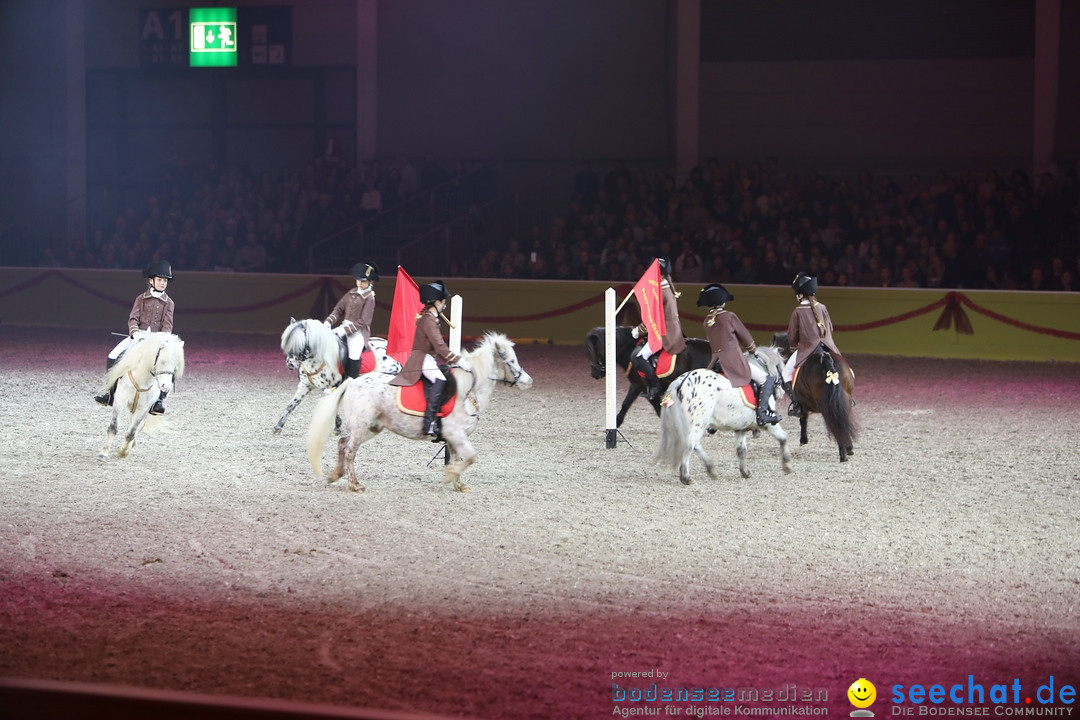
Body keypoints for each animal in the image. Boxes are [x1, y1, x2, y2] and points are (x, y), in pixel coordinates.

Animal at [98, 334, 184, 462]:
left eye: (176, 366)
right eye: (163, 361)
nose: (166, 387)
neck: (142, 379)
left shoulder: (142, 409)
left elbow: (132, 432)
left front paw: (123, 452)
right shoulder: (119, 402)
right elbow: (113, 427)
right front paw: (103, 454)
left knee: (138, 427)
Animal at [308, 334, 531, 492]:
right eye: (511, 361)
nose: (528, 381)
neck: (468, 390)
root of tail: (353, 381)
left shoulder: (455, 438)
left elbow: (460, 458)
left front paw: (458, 484)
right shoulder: (456, 435)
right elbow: (470, 457)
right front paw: (449, 476)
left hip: (371, 427)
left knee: (343, 443)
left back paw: (335, 475)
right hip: (362, 426)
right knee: (350, 451)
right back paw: (355, 485)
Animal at [583, 325, 717, 427]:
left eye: (597, 352)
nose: (594, 374)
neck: (629, 348)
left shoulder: (647, 390)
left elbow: (659, 410)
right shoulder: (636, 385)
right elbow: (626, 403)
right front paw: (616, 424)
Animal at [648, 347, 794, 487]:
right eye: (780, 371)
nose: (781, 392)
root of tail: (681, 380)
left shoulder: (740, 427)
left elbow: (741, 450)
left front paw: (745, 472)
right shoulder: (768, 424)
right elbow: (784, 438)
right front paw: (787, 465)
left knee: (695, 444)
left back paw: (710, 469)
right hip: (697, 423)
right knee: (690, 444)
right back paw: (686, 477)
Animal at [773, 332, 855, 462]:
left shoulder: (803, 402)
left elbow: (803, 419)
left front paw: (803, 440)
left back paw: (843, 454)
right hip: (844, 401)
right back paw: (849, 448)